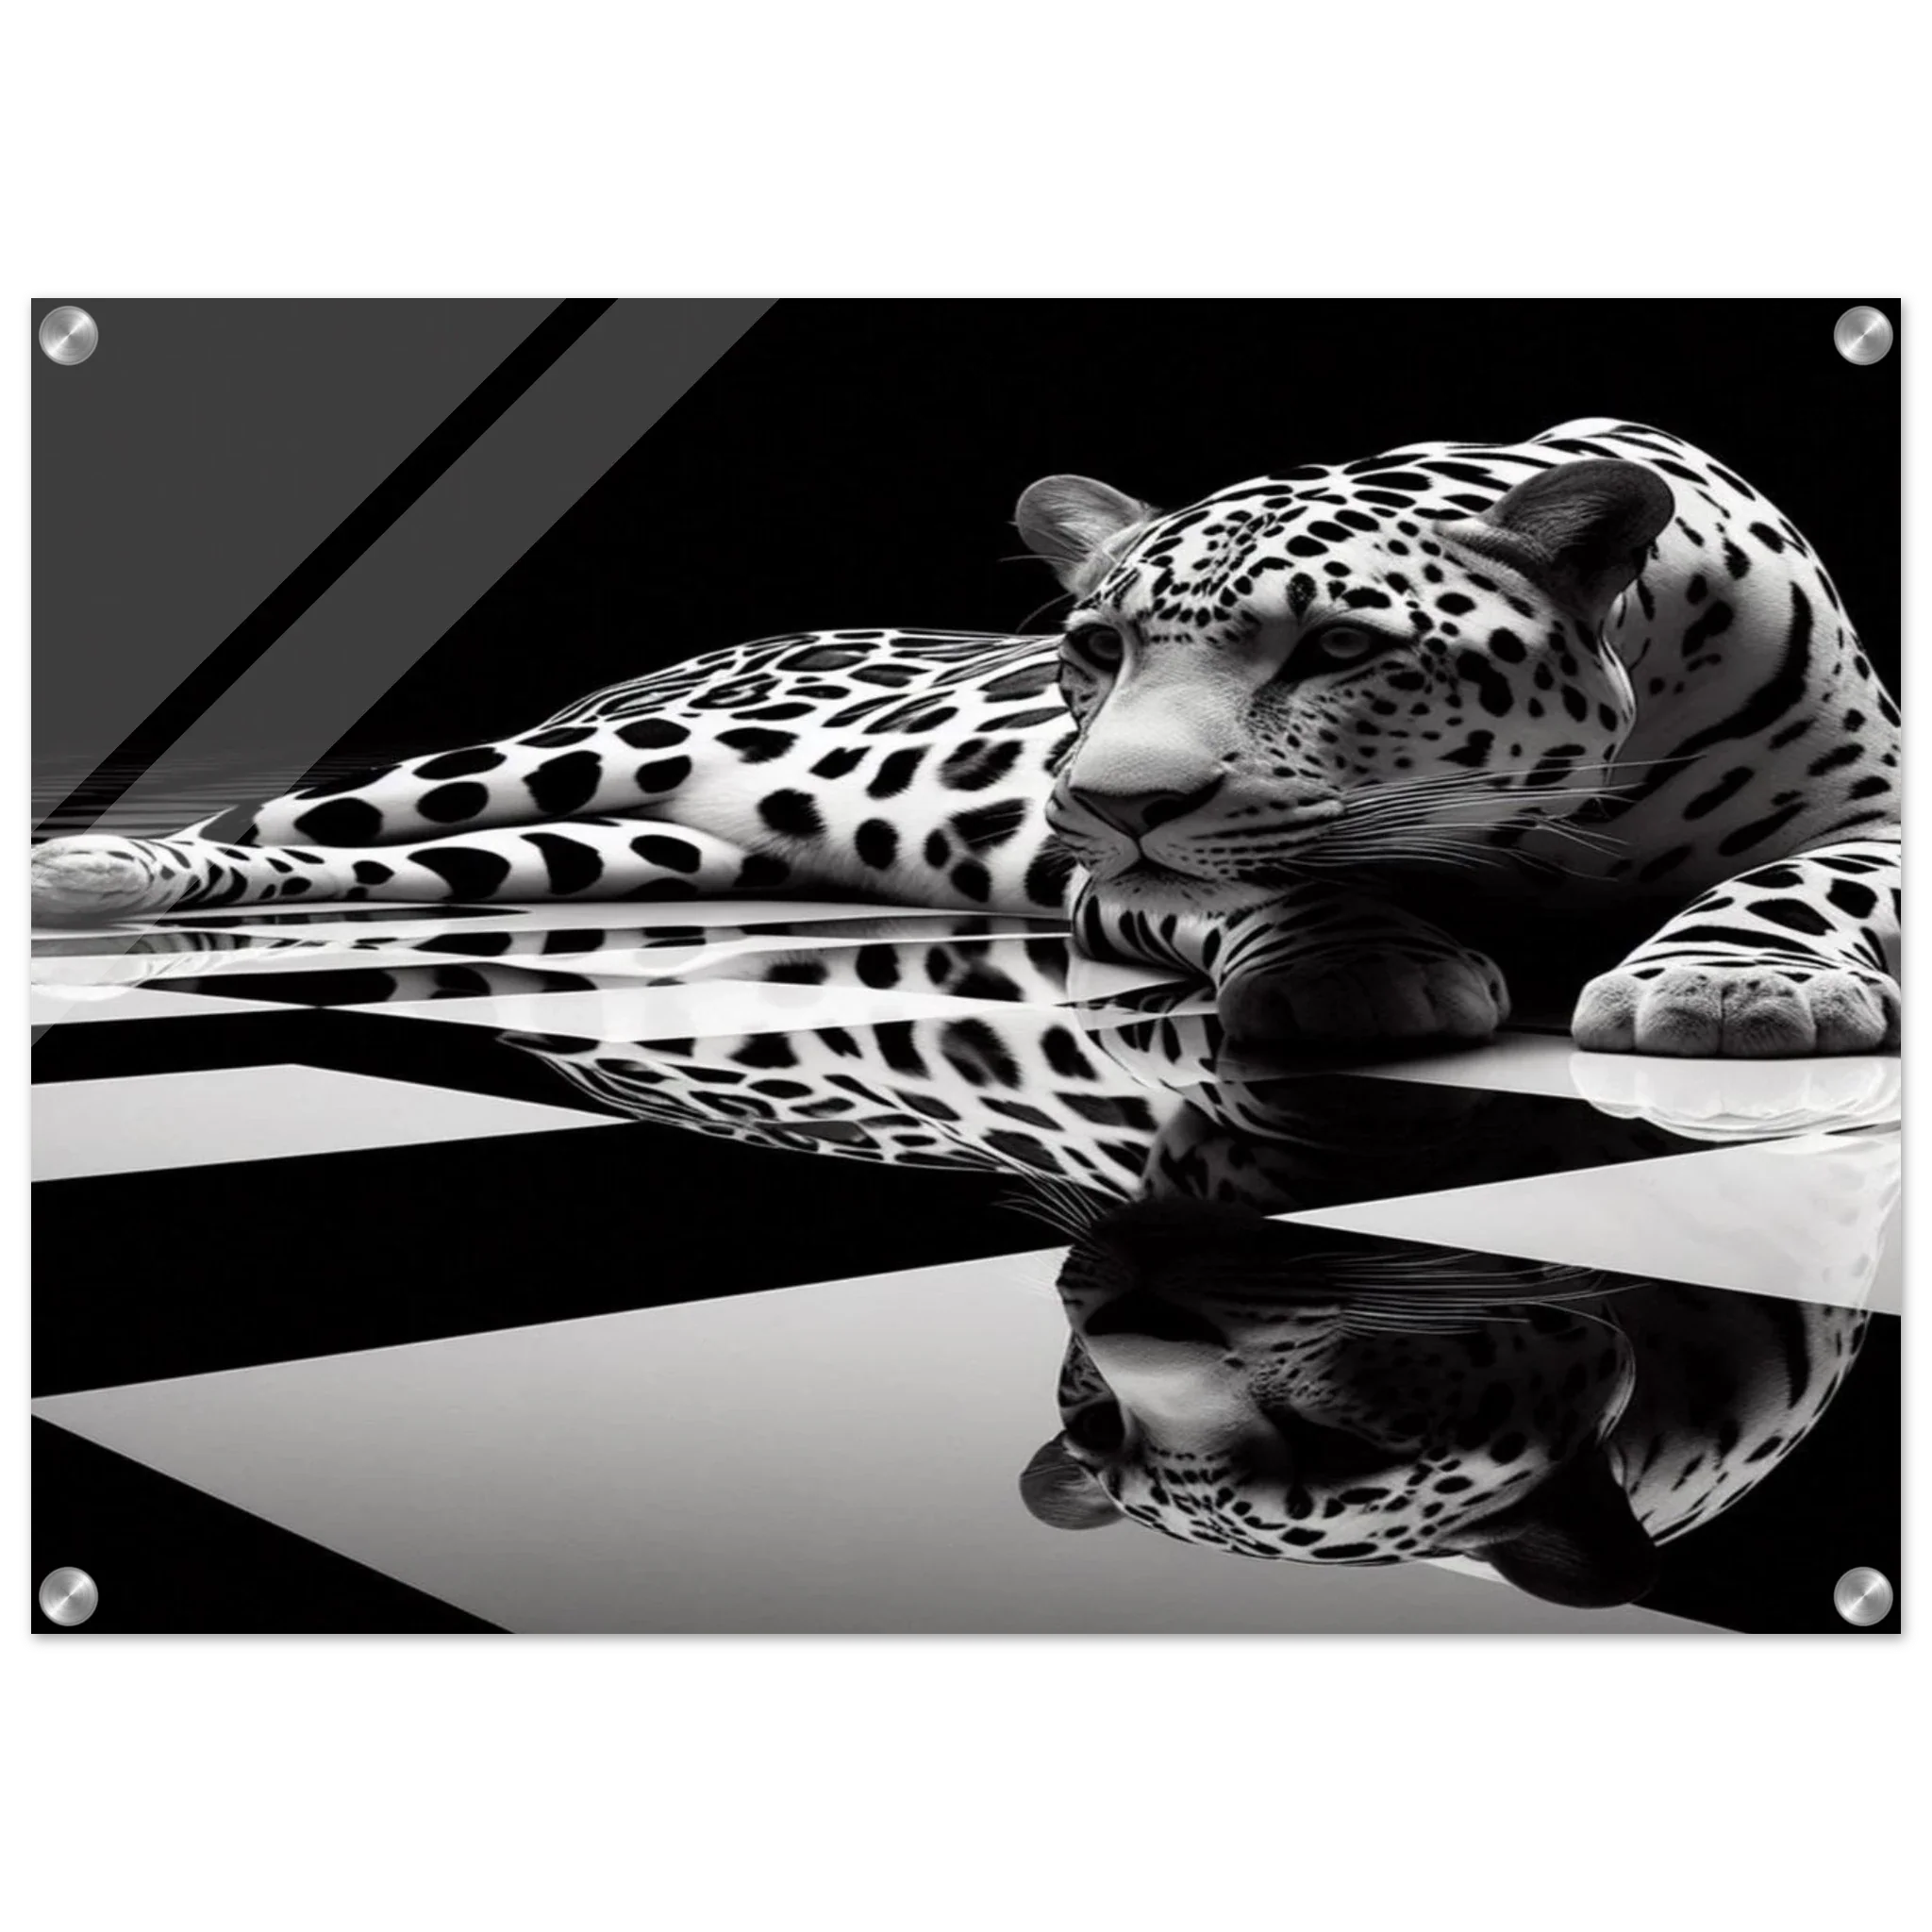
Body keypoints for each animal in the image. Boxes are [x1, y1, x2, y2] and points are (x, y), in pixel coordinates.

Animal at [30, 418, 1903, 1060]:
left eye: (1339, 649)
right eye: (1093, 649)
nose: (1104, 797)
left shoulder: (1879, 815)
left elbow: (1799, 886)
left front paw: (1730, 988)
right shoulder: (1117, 884)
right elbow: (1274, 883)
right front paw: (1356, 969)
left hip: (604, 848)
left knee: (390, 863)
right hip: (542, 767)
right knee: (292, 816)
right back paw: (93, 871)